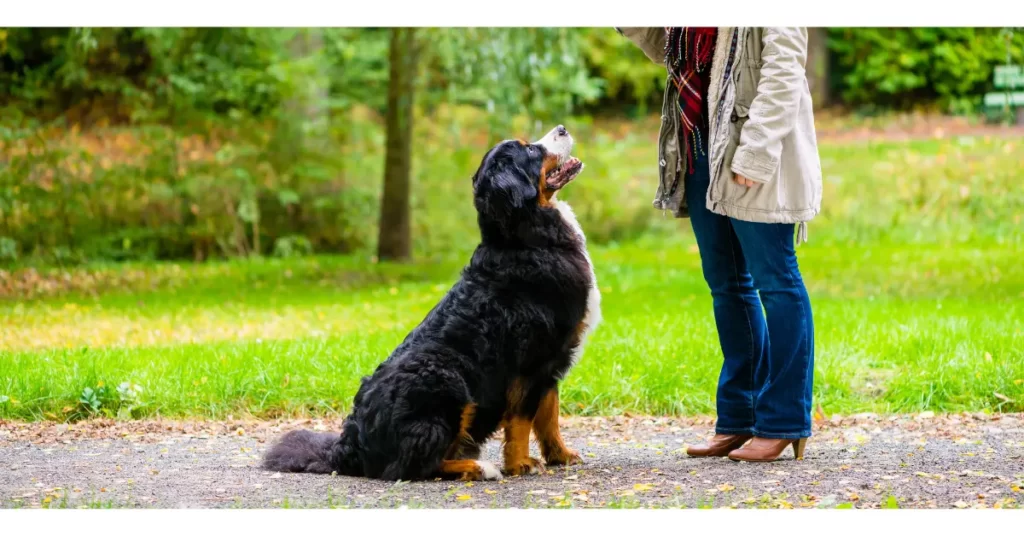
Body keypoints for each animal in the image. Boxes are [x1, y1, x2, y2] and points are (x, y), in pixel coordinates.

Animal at [260, 125, 602, 481]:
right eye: (531, 151)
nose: (562, 128)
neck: (525, 238)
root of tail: (349, 446)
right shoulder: (532, 361)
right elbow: (522, 420)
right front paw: (520, 464)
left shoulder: (552, 362)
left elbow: (549, 416)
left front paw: (560, 455)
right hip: (447, 379)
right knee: (415, 465)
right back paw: (479, 467)